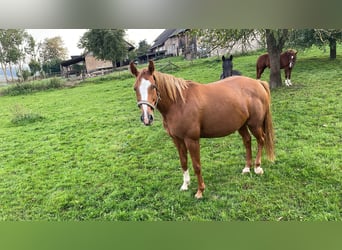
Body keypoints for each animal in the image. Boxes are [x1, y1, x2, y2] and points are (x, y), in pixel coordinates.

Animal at [130, 60, 274, 199]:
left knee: (261, 140)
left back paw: (257, 167)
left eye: (153, 87)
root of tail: (258, 83)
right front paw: (185, 185)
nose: (146, 118)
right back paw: (247, 168)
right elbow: (183, 162)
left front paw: (200, 191)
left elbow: (197, 165)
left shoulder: (191, 140)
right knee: (247, 141)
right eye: (135, 88)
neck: (178, 104)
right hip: (241, 125)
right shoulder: (177, 140)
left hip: (254, 125)